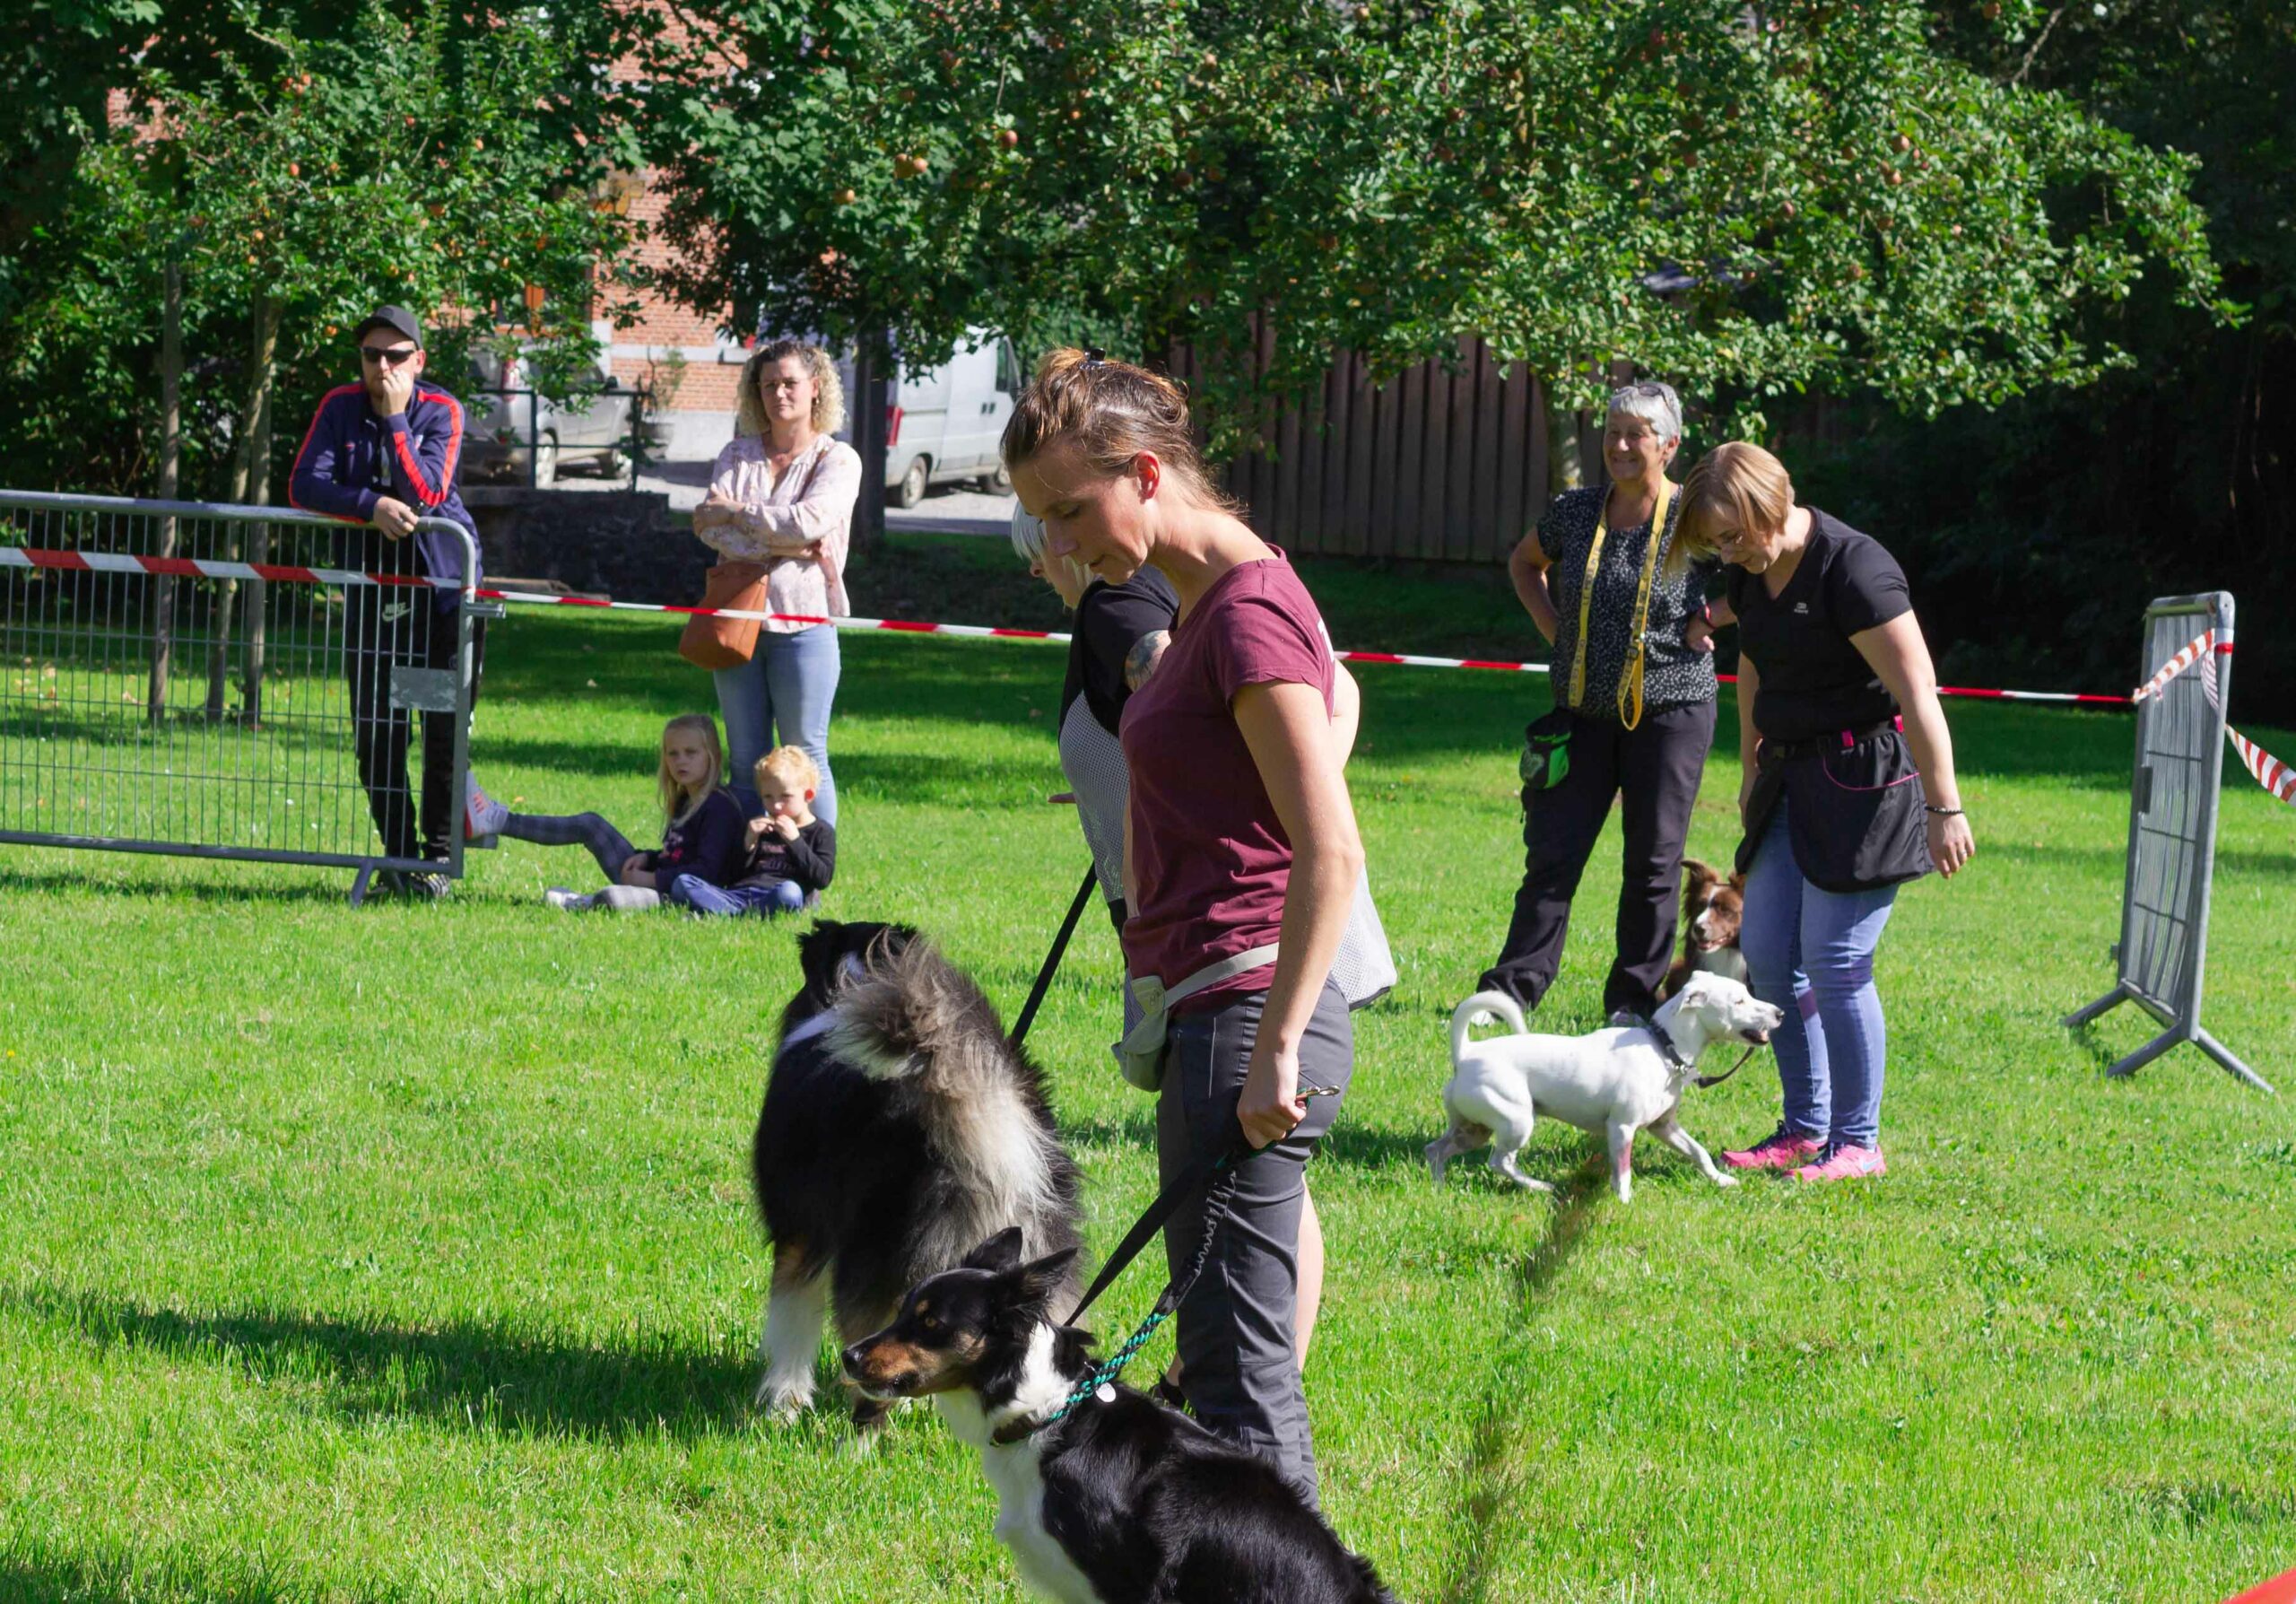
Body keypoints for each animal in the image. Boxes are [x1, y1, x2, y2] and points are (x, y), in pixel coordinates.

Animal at [1427, 970, 1784, 1202]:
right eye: (1739, 1001)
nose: (1780, 1012)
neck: (1662, 1047)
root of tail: (1466, 1053)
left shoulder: (1664, 1126)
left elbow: (1698, 1152)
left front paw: (1721, 1180)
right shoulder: (1622, 1128)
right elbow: (1623, 1172)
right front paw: (1623, 1201)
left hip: (1473, 1129)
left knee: (1436, 1149)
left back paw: (1440, 1187)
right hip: (1516, 1121)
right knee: (1500, 1162)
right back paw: (1540, 1187)